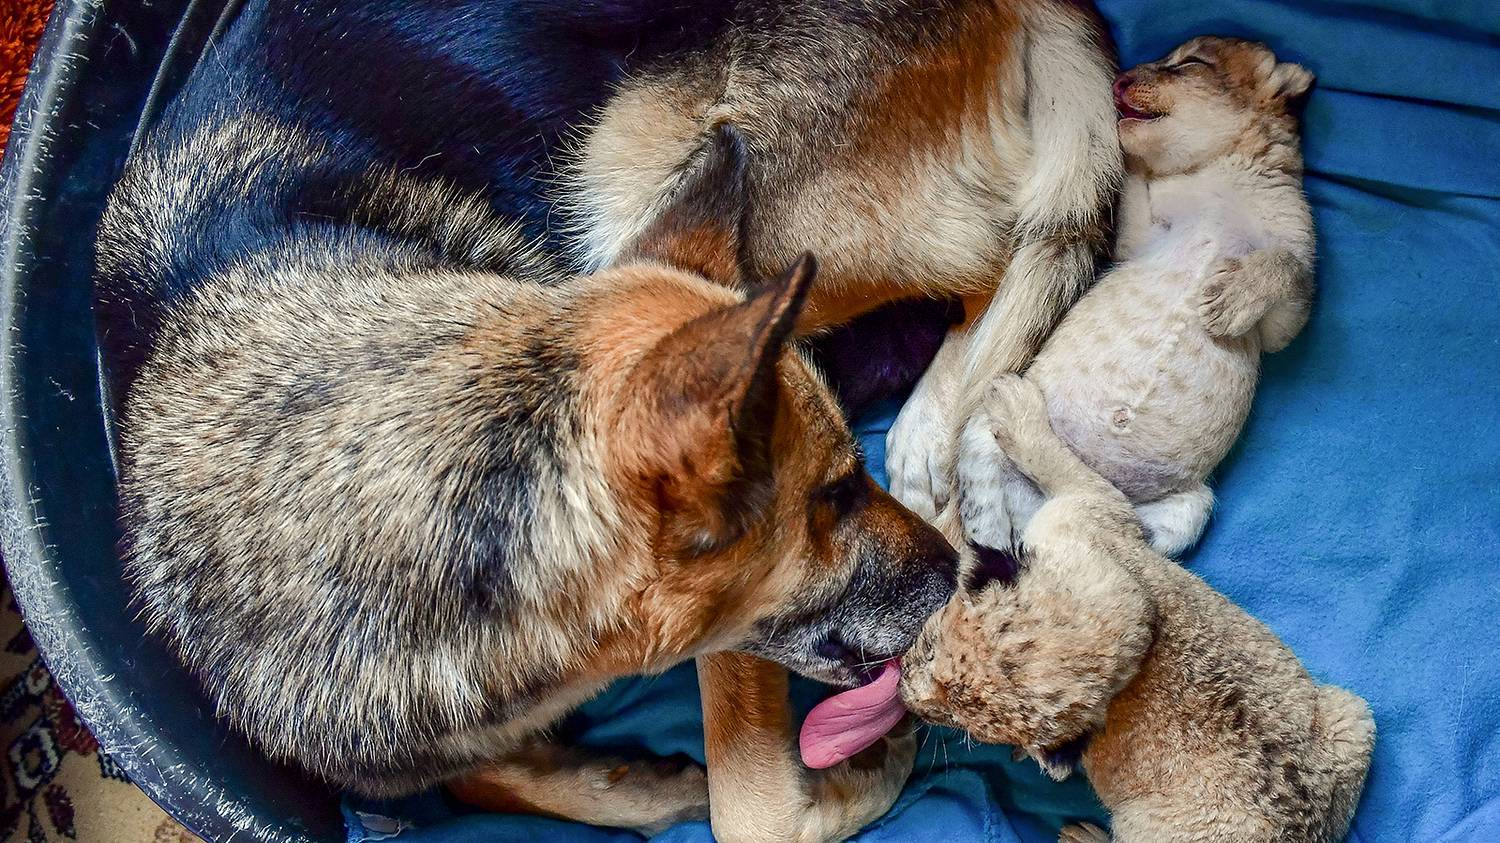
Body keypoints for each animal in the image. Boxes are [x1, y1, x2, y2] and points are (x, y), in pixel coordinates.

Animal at [96, 1, 1116, 840]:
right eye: (831, 496)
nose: (965, 570)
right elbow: (479, 779)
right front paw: (638, 787)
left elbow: (750, 812)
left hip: (673, 182)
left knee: (994, 255)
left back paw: (930, 422)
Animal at [894, 375, 1374, 840]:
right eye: (931, 648)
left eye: (963, 728)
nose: (903, 695)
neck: (1144, 639)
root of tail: (1305, 830)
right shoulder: (1094, 519)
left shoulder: (1093, 505)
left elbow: (1059, 462)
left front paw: (1015, 406)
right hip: (1352, 716)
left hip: (1142, 826)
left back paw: (1084, 835)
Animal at [960, 37, 1314, 552]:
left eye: (1191, 63)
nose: (1119, 81)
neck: (1218, 176)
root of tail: (1030, 514)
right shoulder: (1138, 242)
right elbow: (1133, 182)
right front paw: (1116, 145)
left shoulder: (1285, 317)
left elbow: (1284, 266)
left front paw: (1228, 302)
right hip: (980, 433)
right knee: (988, 508)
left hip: (1187, 510)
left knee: (1106, 507)